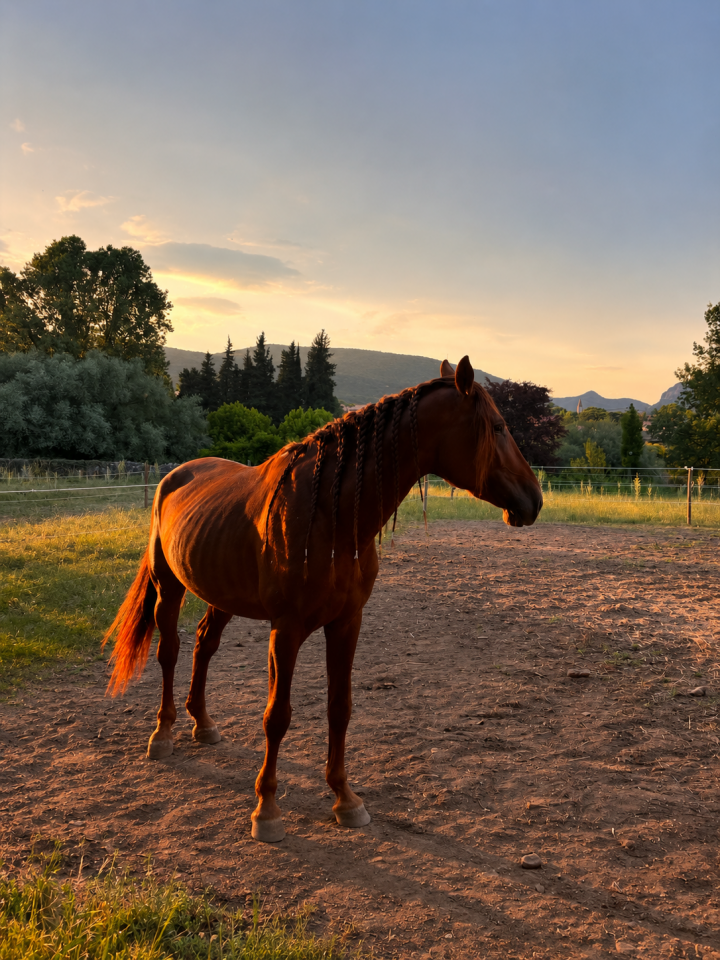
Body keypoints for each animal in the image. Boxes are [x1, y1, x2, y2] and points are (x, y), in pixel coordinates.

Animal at [103, 356, 542, 842]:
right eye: (499, 427)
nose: (535, 499)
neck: (329, 518)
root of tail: (173, 477)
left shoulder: (347, 622)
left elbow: (340, 708)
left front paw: (344, 798)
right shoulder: (286, 629)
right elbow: (277, 715)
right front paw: (267, 809)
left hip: (222, 595)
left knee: (204, 645)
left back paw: (203, 723)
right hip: (169, 588)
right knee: (170, 652)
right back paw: (163, 734)